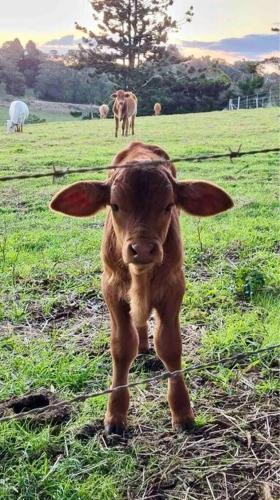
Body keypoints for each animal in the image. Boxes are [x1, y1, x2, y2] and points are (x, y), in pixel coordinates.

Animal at [50, 141, 234, 434]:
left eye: (169, 205)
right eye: (114, 205)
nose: (143, 249)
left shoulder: (174, 287)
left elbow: (170, 345)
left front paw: (182, 411)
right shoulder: (111, 289)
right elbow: (122, 346)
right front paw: (115, 414)